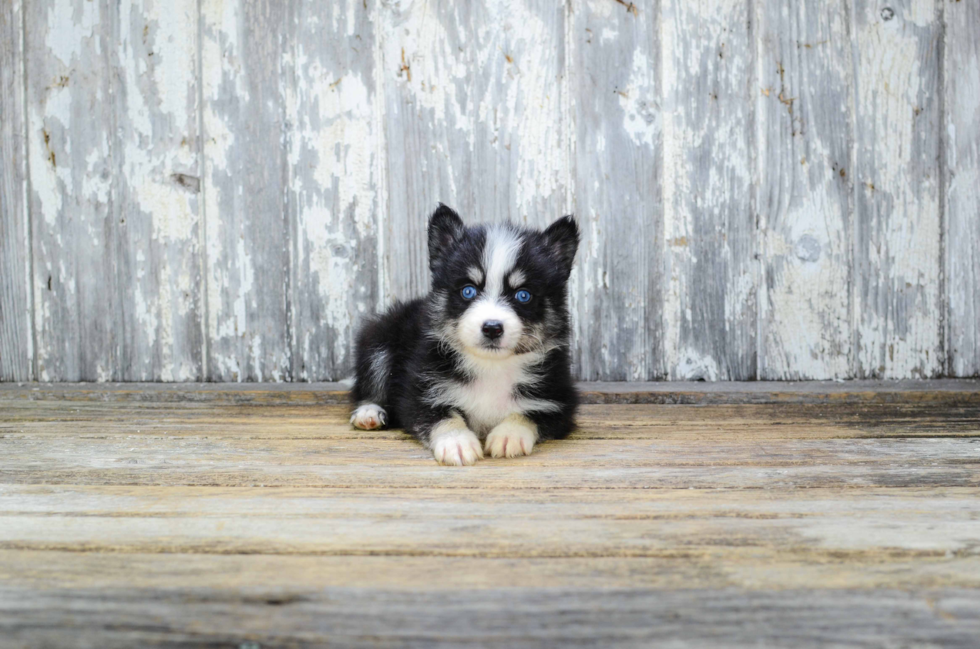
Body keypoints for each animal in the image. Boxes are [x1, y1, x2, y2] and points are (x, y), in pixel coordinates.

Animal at [348, 205, 580, 464]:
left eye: (523, 295)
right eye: (468, 291)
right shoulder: (418, 392)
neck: (491, 365)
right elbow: (441, 415)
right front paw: (456, 442)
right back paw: (369, 412)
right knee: (369, 385)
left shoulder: (559, 398)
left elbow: (530, 413)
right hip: (379, 341)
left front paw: (509, 435)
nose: (492, 328)